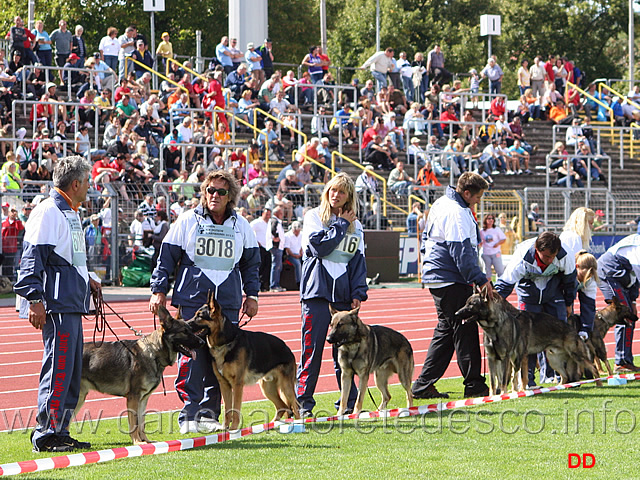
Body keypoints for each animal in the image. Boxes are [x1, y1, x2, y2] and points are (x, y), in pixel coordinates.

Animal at [76, 306, 204, 444]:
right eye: (184, 332)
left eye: (190, 330)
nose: (202, 342)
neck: (154, 353)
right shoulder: (133, 397)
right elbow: (134, 423)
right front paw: (137, 442)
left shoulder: (143, 399)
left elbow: (141, 423)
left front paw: (146, 441)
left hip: (80, 398)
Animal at [190, 292, 300, 432]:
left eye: (199, 316)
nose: (185, 324)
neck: (226, 341)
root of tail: (287, 348)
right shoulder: (224, 385)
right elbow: (227, 410)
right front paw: (225, 429)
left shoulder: (237, 385)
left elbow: (235, 409)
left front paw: (233, 429)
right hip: (267, 388)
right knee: (283, 406)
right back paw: (271, 425)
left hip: (286, 387)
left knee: (295, 407)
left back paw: (299, 423)